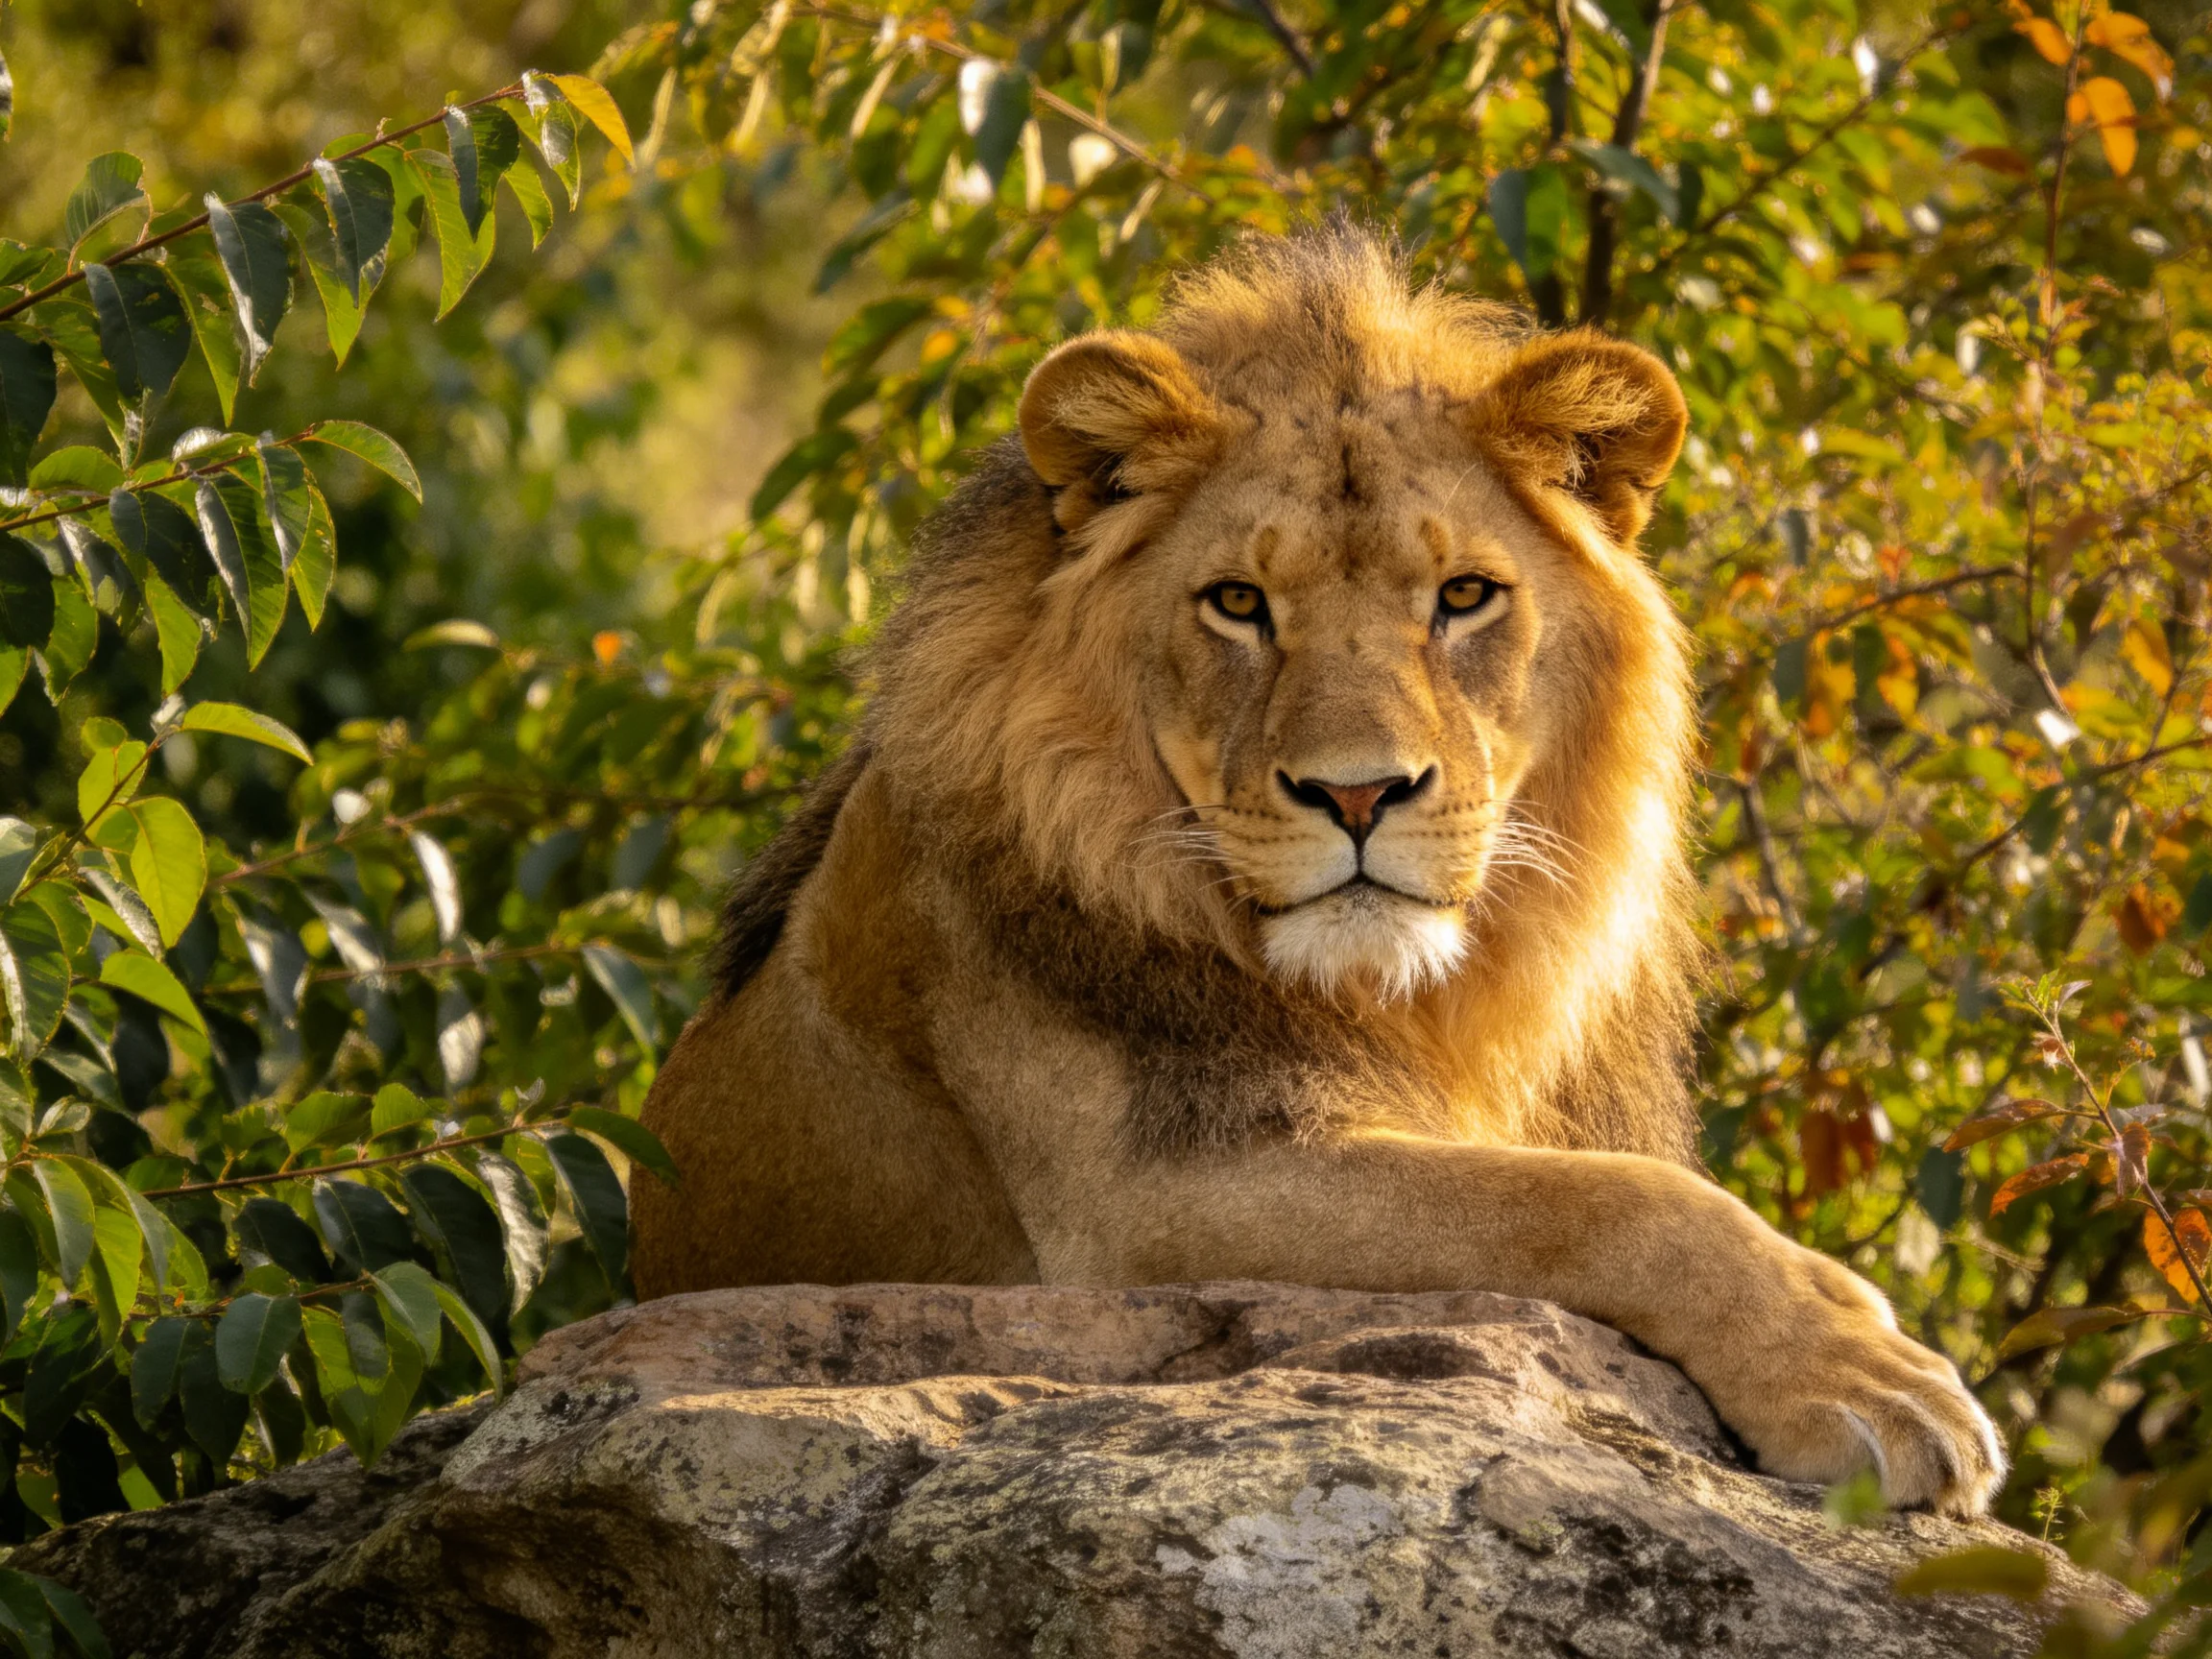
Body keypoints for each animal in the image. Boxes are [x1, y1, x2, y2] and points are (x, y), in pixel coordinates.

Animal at [632, 228, 2003, 1516]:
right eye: (1239, 602)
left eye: (1465, 596)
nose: (1357, 795)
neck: (1407, 994)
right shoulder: (1146, 1210)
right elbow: (1600, 1204)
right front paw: (1859, 1376)